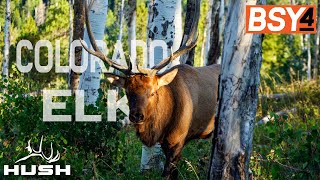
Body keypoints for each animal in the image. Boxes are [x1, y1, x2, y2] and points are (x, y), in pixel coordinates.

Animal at [80, 1, 220, 179]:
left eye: (152, 92)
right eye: (128, 92)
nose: (137, 116)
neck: (163, 127)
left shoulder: (178, 140)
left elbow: (168, 174)